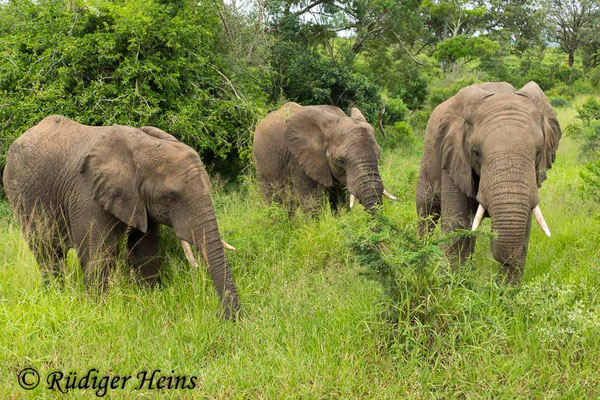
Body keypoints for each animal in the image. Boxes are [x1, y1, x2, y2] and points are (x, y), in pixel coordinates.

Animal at [2, 115, 241, 318]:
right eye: (170, 197)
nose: (225, 318)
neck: (141, 148)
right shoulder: (87, 195)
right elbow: (96, 255)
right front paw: (96, 310)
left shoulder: (140, 202)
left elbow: (146, 250)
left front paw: (147, 298)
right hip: (20, 196)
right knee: (46, 252)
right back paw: (57, 294)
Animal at [252, 103, 396, 214]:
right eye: (340, 161)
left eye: (378, 156)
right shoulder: (298, 160)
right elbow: (312, 204)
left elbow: (340, 202)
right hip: (261, 166)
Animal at [418, 81, 564, 282]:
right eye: (476, 152)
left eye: (539, 152)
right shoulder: (454, 157)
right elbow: (458, 224)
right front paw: (452, 285)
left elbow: (524, 228)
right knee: (426, 212)